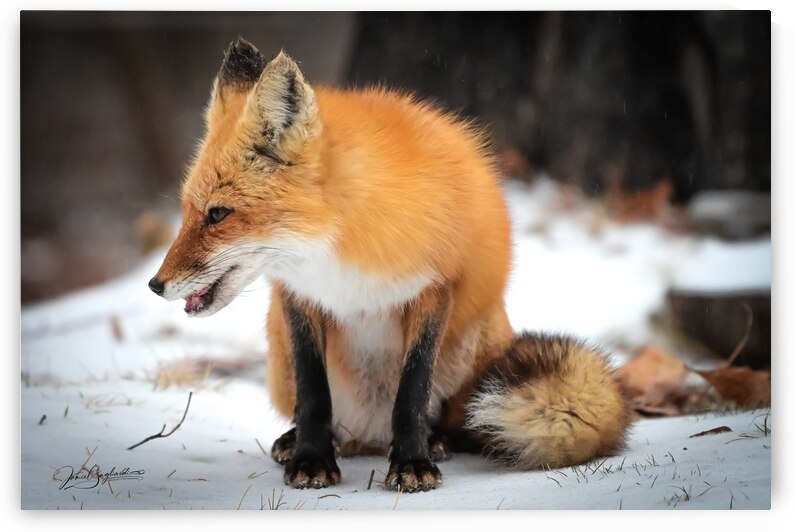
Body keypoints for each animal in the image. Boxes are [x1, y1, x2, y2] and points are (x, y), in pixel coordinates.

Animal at [149, 37, 632, 492]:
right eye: (188, 211)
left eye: (218, 214)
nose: (155, 285)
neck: (338, 250)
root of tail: (369, 434)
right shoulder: (300, 297)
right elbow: (313, 393)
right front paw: (311, 458)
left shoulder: (433, 288)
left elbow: (412, 392)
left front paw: (413, 463)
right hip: (277, 348)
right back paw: (300, 441)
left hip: (472, 348)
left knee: (452, 420)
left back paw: (435, 441)